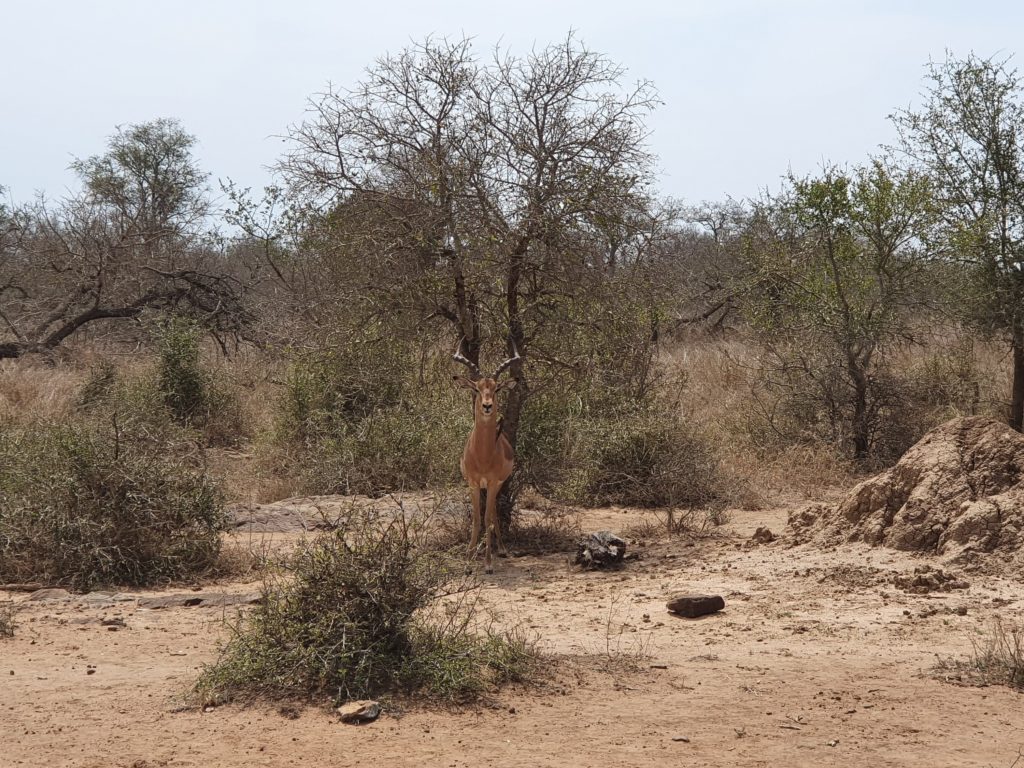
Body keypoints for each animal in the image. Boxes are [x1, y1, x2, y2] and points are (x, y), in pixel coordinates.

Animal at [454, 339, 520, 573]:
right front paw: (468, 562)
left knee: (493, 516)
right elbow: (476, 520)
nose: (487, 406)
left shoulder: (491, 483)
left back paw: (501, 550)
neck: (482, 456)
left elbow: (487, 519)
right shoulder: (473, 484)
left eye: (496, 388)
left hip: (498, 485)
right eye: (477, 387)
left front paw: (488, 564)